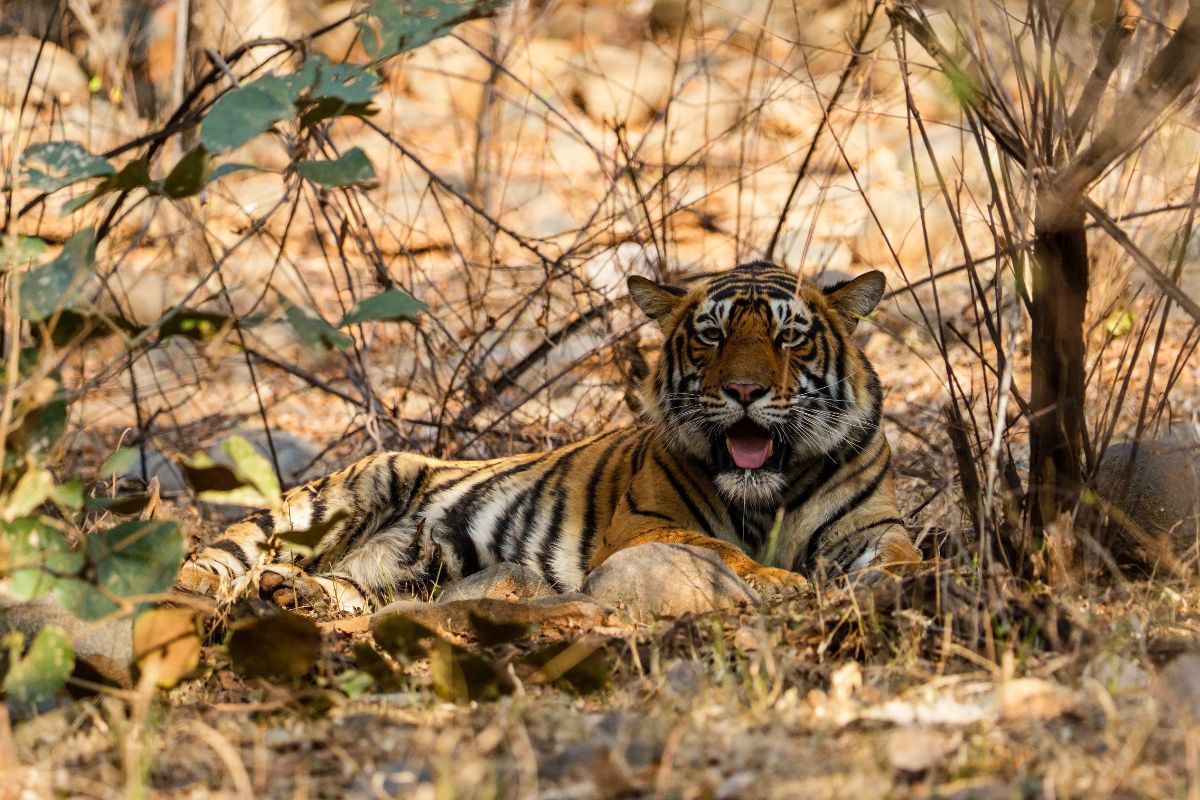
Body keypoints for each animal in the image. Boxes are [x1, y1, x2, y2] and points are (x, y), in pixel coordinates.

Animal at [177, 260, 920, 612]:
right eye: (712, 335)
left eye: (789, 337)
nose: (743, 391)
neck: (771, 489)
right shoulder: (646, 527)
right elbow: (725, 553)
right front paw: (784, 583)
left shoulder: (869, 527)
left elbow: (901, 557)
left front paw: (911, 582)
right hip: (337, 496)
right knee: (214, 559)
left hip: (394, 573)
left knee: (341, 588)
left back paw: (292, 593)